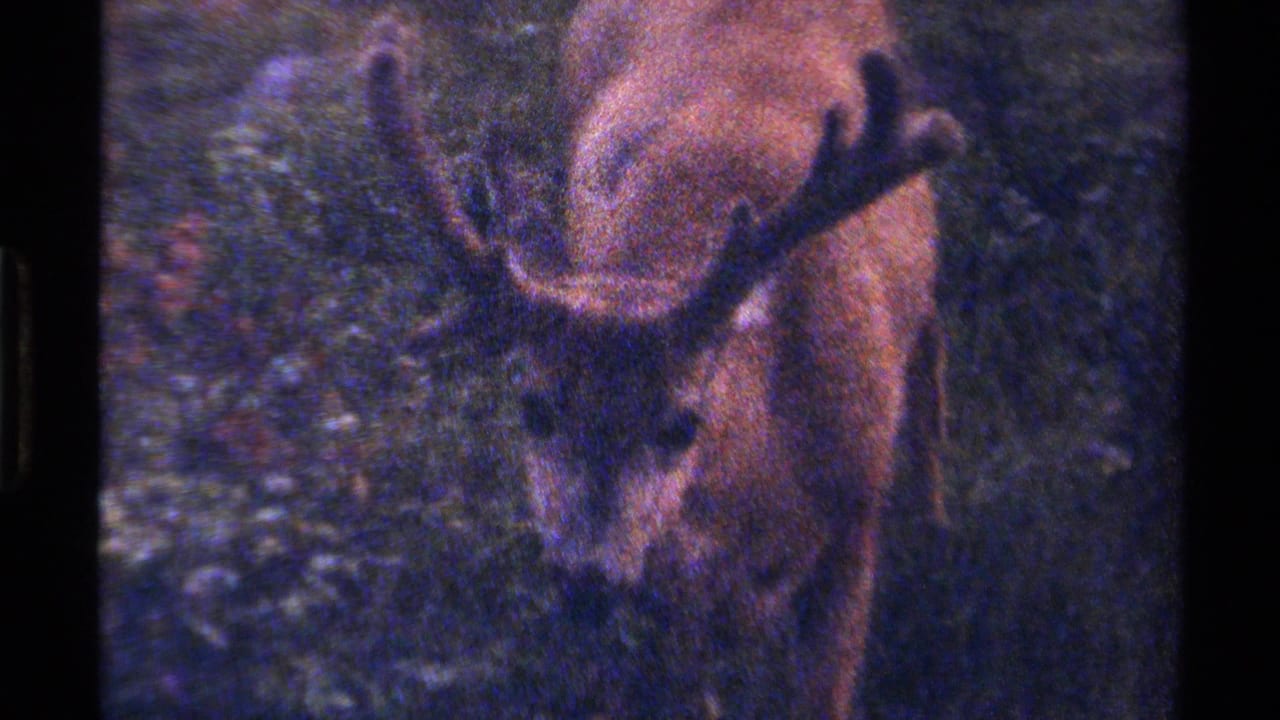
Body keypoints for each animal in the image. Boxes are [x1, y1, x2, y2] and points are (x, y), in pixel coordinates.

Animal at [364, 2, 962, 718]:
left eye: (682, 424)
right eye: (534, 408)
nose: (586, 582)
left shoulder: (854, 524)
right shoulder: (666, 581)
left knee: (930, 346)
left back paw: (935, 529)